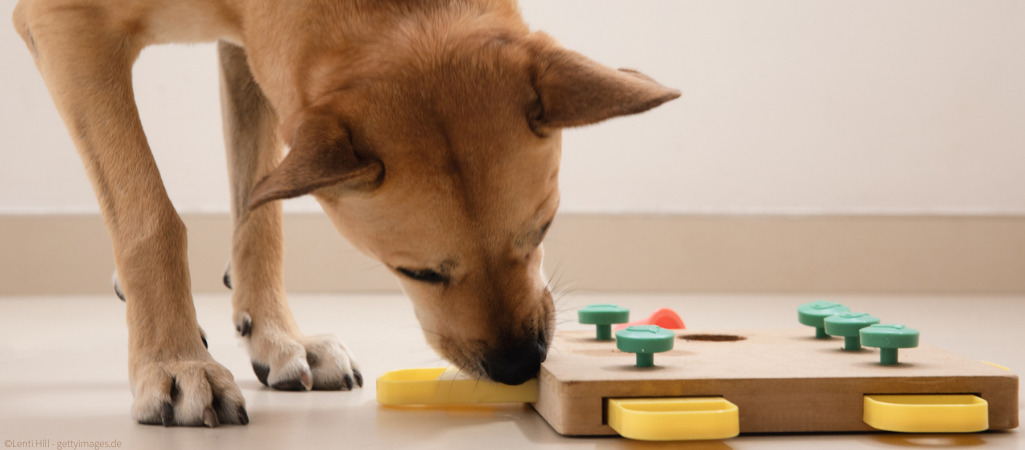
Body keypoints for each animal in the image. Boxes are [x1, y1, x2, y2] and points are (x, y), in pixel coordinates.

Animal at [14, 0, 680, 428]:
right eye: (417, 273)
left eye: (542, 230)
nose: (519, 365)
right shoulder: (68, 30)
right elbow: (150, 212)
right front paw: (175, 362)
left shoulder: (249, 49)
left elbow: (259, 207)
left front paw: (278, 334)